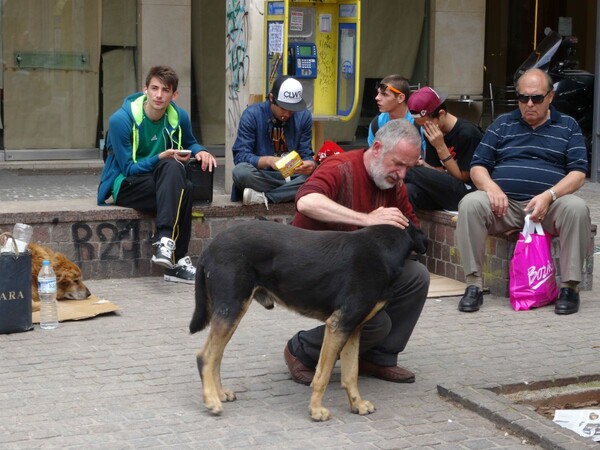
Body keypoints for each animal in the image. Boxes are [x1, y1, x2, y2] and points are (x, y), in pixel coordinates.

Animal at [190, 220, 428, 420]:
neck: (383, 251)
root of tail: (209, 248)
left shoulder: (354, 328)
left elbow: (351, 373)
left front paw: (357, 404)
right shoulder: (338, 324)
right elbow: (322, 375)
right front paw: (316, 410)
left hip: (231, 312)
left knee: (216, 355)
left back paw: (219, 393)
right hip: (231, 307)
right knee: (205, 356)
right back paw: (211, 401)